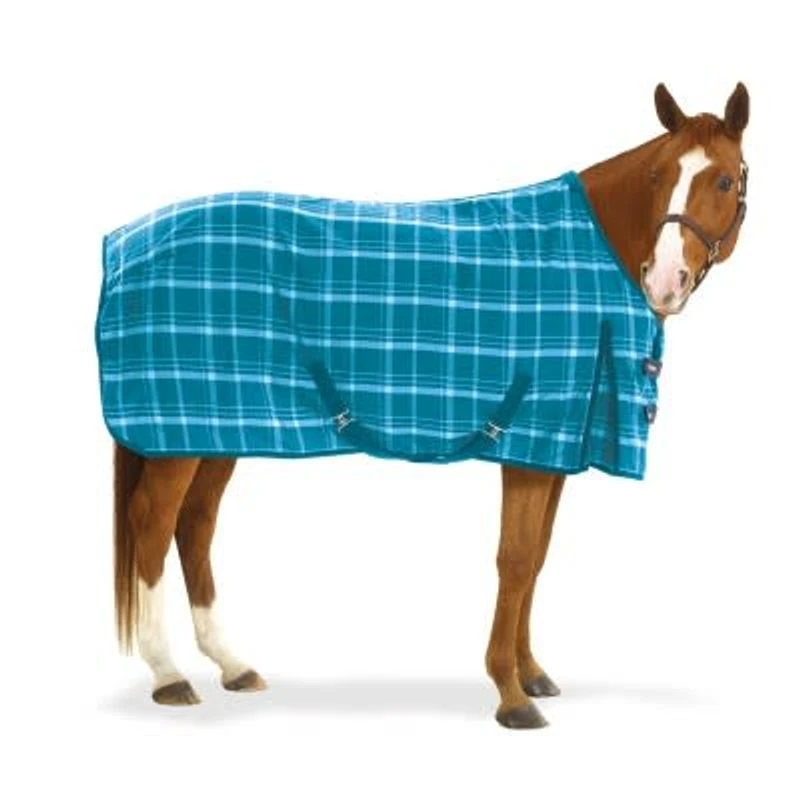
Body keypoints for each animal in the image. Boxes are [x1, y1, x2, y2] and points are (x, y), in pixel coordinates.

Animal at [103, 82, 749, 729]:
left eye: (723, 180)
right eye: (658, 174)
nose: (663, 280)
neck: (582, 256)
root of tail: (124, 244)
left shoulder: (556, 446)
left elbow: (537, 558)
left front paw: (531, 673)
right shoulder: (530, 443)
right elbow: (515, 560)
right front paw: (510, 694)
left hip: (215, 429)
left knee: (195, 524)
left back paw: (232, 665)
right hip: (176, 434)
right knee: (154, 522)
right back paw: (169, 675)